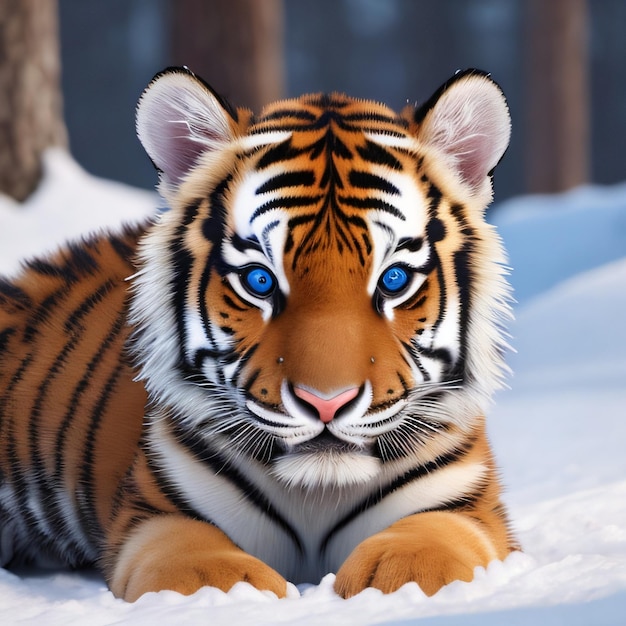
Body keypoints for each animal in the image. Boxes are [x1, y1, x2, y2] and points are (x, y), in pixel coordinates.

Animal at [1, 66, 516, 596]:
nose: (326, 403)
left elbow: (428, 548)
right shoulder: (156, 513)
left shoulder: (466, 506)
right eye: (259, 281)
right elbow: (201, 564)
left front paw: (393, 580)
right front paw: (244, 592)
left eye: (393, 280)